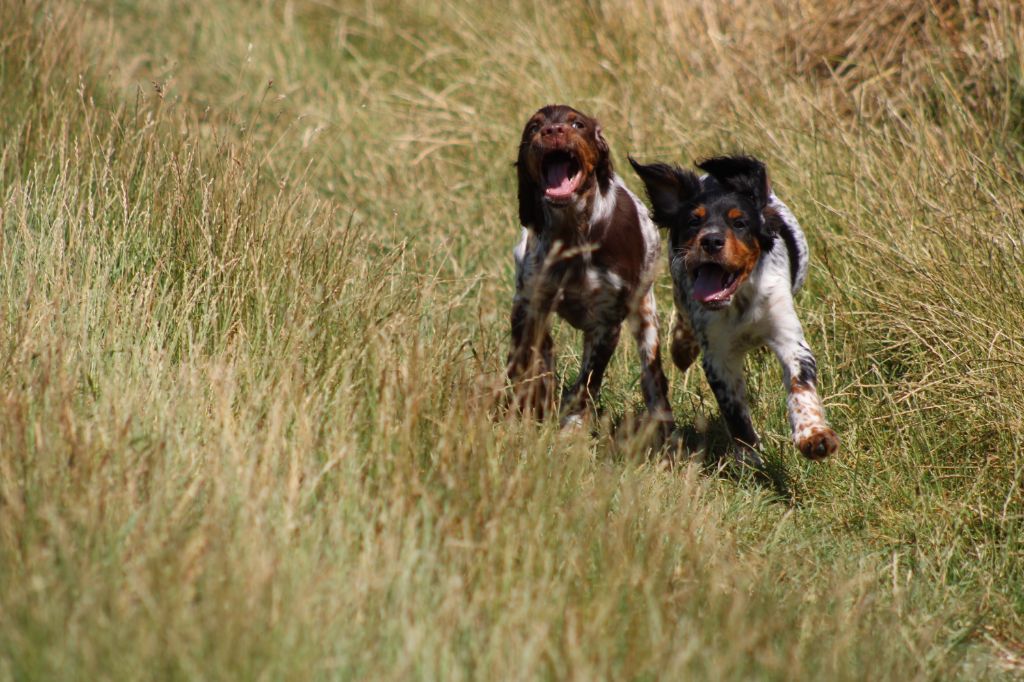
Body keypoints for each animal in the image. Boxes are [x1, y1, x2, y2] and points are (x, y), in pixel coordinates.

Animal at [507, 106, 675, 436]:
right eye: (534, 127)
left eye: (576, 124)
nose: (553, 131)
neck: (572, 231)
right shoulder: (529, 304)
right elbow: (529, 364)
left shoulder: (607, 321)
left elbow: (587, 381)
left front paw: (571, 427)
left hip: (645, 314)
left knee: (652, 377)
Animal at [630, 156, 839, 458]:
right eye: (694, 221)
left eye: (739, 223)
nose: (711, 241)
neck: (739, 301)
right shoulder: (718, 356)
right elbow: (735, 412)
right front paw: (750, 457)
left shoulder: (788, 336)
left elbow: (801, 386)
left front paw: (814, 437)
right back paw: (682, 347)